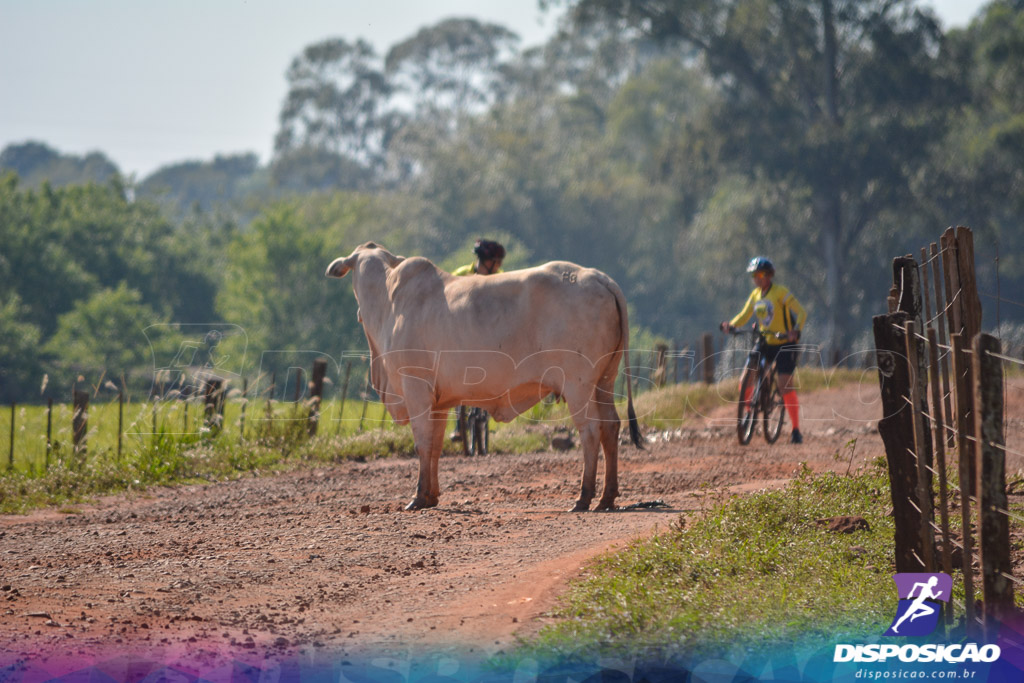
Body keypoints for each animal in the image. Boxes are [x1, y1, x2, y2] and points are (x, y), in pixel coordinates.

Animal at [327, 242, 643, 509]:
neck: (388, 301)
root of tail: (599, 277)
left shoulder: (415, 388)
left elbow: (422, 443)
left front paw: (417, 498)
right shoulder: (439, 402)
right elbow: (436, 446)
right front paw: (431, 495)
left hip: (578, 385)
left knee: (590, 431)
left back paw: (584, 497)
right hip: (604, 381)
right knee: (611, 427)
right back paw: (607, 497)